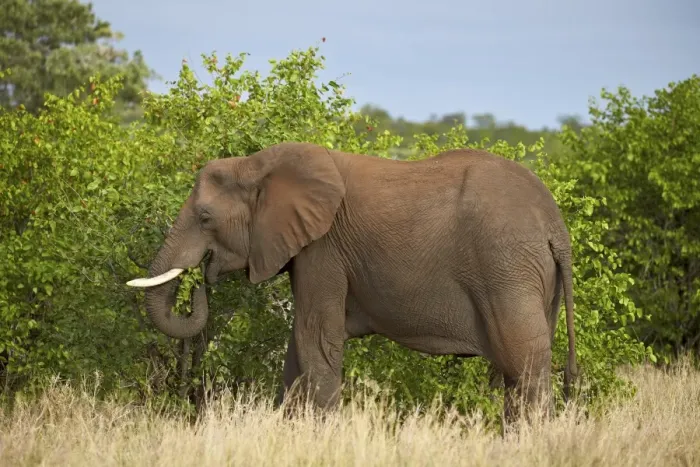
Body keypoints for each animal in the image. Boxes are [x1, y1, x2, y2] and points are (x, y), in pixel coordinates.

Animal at [126, 141, 577, 423]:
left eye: (205, 218)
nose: (201, 281)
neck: (256, 164)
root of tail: (555, 226)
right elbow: (299, 349)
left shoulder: (323, 250)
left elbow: (314, 339)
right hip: (534, 278)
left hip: (507, 268)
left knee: (523, 364)